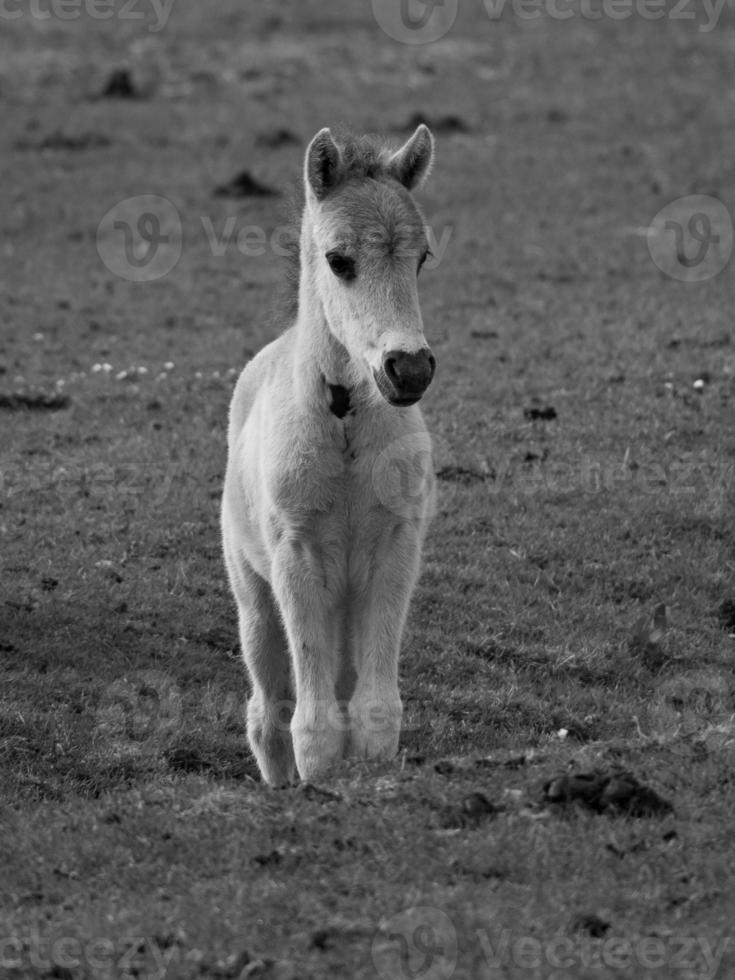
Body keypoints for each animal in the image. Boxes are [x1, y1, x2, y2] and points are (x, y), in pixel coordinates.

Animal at [218, 122, 436, 784]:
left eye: (422, 258)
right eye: (339, 260)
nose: (408, 369)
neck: (343, 423)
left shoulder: (396, 548)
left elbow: (372, 711)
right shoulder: (297, 555)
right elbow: (311, 726)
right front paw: (317, 783)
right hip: (254, 597)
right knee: (267, 709)